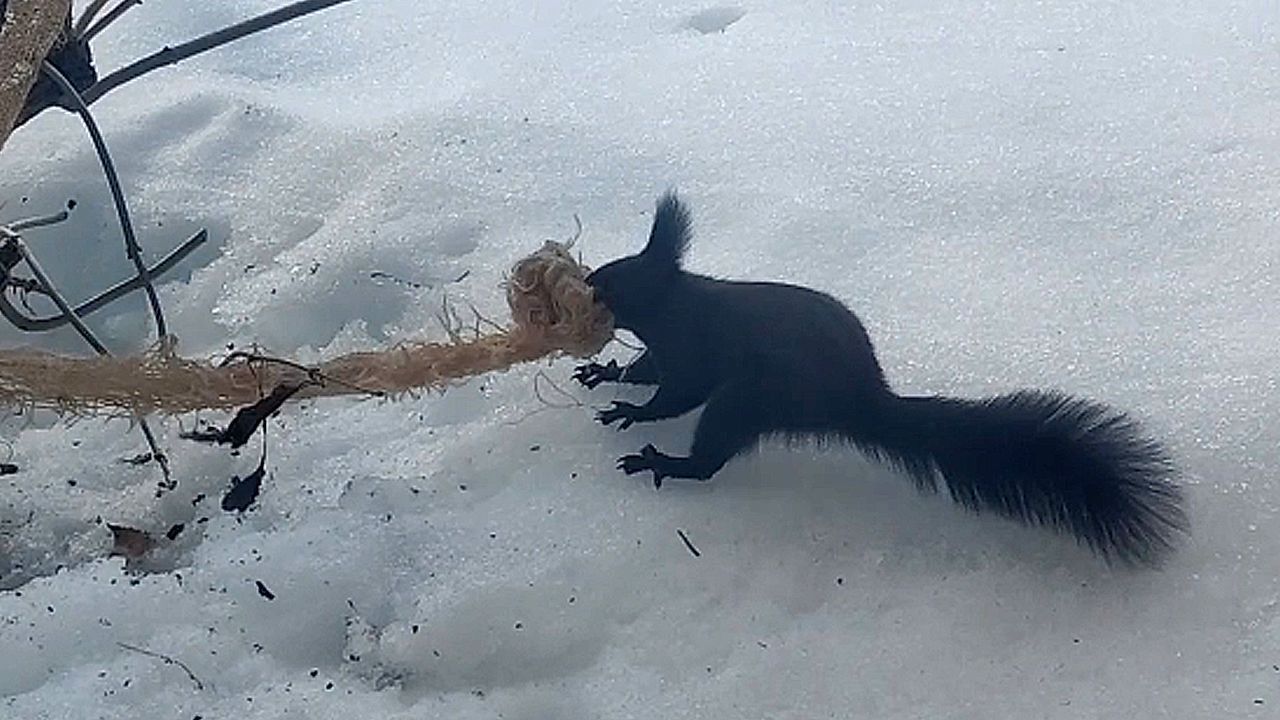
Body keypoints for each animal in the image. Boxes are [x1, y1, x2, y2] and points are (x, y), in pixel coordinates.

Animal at [573, 192, 1186, 565]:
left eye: (618, 278)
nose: (588, 280)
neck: (675, 305)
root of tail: (860, 401)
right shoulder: (665, 350)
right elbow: (645, 371)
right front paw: (605, 372)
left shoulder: (694, 350)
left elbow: (676, 393)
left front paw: (633, 412)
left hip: (751, 399)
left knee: (711, 456)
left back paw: (665, 463)